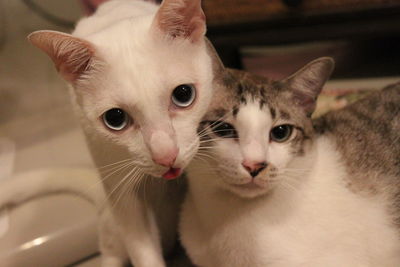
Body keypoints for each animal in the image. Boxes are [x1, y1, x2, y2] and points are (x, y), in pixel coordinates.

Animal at [27, 1, 223, 266]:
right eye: (115, 119)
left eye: (183, 94)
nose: (166, 156)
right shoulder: (121, 193)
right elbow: (143, 251)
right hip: (113, 226)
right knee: (110, 251)